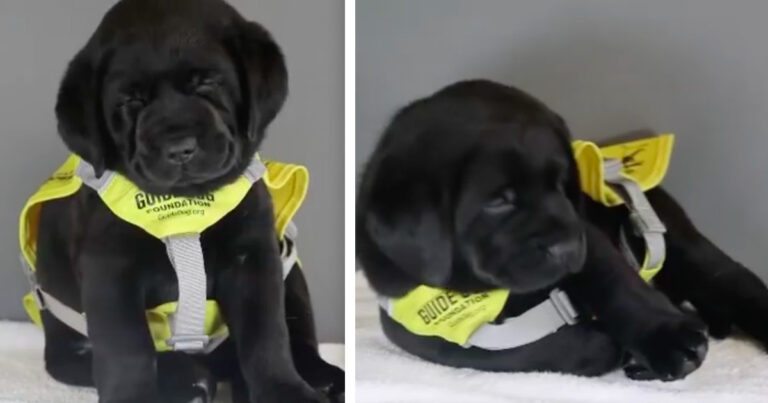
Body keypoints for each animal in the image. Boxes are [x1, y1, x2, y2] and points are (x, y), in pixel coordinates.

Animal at [27, 0, 344, 403]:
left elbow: (267, 336)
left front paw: (285, 391)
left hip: (290, 265)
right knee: (75, 359)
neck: (188, 209)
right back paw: (184, 376)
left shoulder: (255, 257)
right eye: (131, 101)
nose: (179, 148)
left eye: (206, 83)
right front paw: (133, 396)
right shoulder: (109, 271)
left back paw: (317, 375)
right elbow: (125, 349)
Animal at [356, 80, 768, 384]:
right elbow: (497, 353)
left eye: (561, 185)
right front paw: (599, 346)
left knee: (735, 282)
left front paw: (666, 338)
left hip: (683, 249)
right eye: (499, 200)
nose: (569, 248)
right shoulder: (414, 320)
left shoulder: (590, 237)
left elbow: (616, 282)